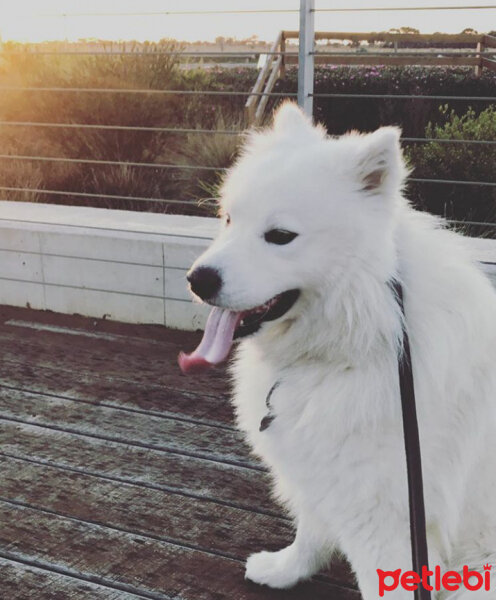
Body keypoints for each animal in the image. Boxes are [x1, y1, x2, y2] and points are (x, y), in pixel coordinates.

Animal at [178, 101, 496, 596]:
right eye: (228, 219)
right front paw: (286, 570)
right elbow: (310, 529)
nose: (198, 279)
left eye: (280, 236)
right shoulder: (326, 476)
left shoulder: (387, 521)